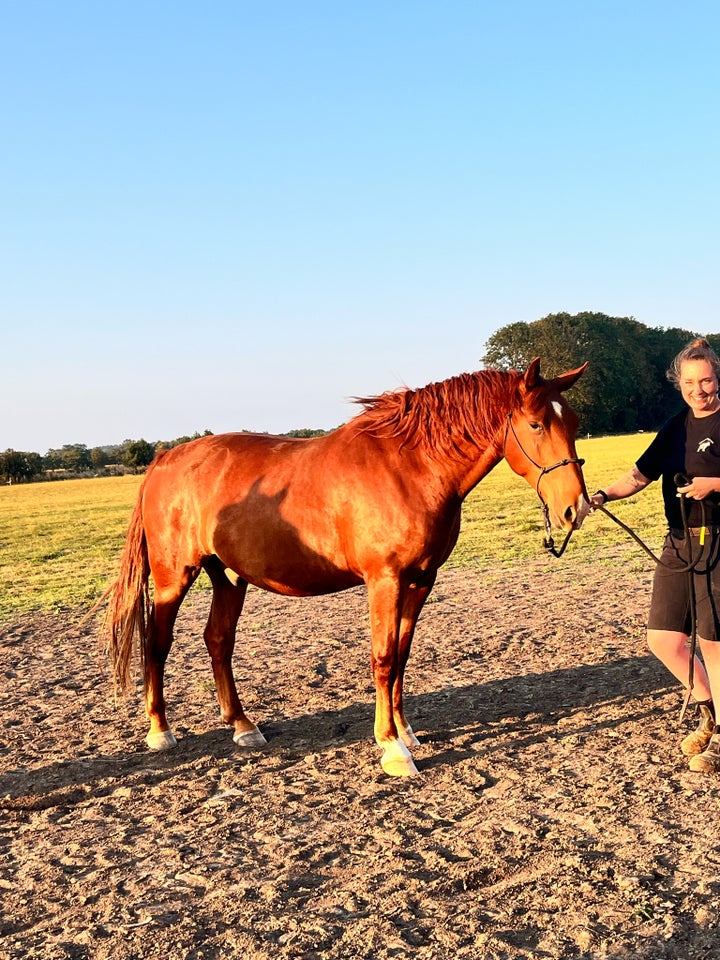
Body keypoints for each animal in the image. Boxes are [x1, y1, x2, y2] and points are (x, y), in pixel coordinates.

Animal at [100, 356, 584, 776]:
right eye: (536, 424)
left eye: (575, 423)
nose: (575, 509)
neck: (409, 467)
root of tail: (165, 459)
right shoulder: (385, 580)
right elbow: (384, 658)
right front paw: (392, 748)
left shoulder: (420, 582)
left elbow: (402, 656)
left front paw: (406, 732)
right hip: (173, 578)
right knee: (158, 644)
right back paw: (160, 731)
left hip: (229, 577)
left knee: (218, 641)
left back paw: (243, 725)